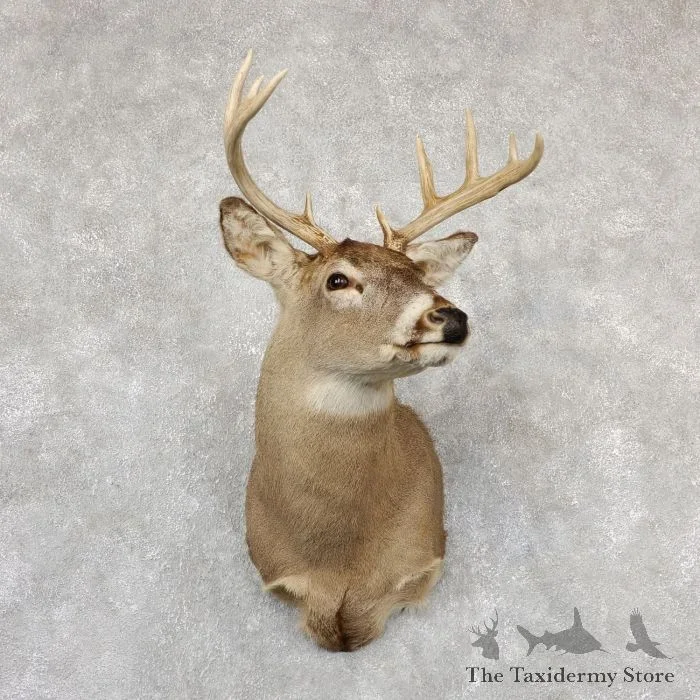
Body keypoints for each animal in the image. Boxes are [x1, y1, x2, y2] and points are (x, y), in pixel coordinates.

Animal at [219, 50, 543, 652]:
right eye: (338, 280)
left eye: (419, 274)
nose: (452, 317)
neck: (342, 559)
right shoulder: (275, 572)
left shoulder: (424, 558)